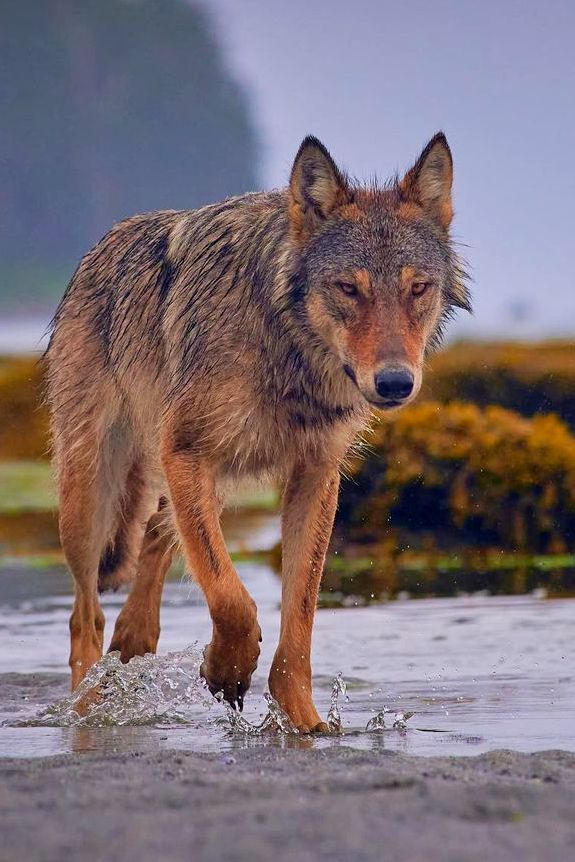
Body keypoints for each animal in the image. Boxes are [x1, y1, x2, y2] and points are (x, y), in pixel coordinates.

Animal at [44, 132, 468, 732]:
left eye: (418, 289)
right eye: (347, 288)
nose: (394, 382)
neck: (287, 352)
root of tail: (98, 249)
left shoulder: (314, 474)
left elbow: (299, 618)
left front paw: (304, 723)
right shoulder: (187, 453)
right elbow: (233, 600)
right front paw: (226, 671)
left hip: (198, 481)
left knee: (155, 540)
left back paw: (134, 640)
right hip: (90, 495)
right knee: (85, 615)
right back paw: (86, 711)